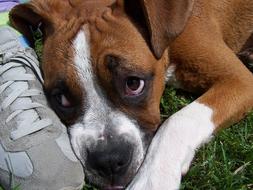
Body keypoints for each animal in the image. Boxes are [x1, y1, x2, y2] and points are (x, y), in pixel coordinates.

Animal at [8, 0, 253, 189]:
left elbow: (178, 120)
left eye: (133, 84)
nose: (108, 161)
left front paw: (153, 180)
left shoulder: (239, 80)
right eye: (62, 99)